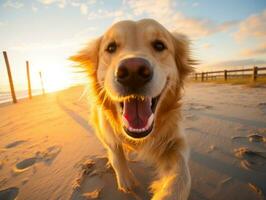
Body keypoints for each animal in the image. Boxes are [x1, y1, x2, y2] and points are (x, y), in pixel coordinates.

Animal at [70, 18, 194, 198]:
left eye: (159, 45)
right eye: (111, 47)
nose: (133, 71)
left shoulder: (174, 141)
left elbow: (182, 176)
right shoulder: (105, 129)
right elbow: (115, 151)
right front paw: (124, 178)